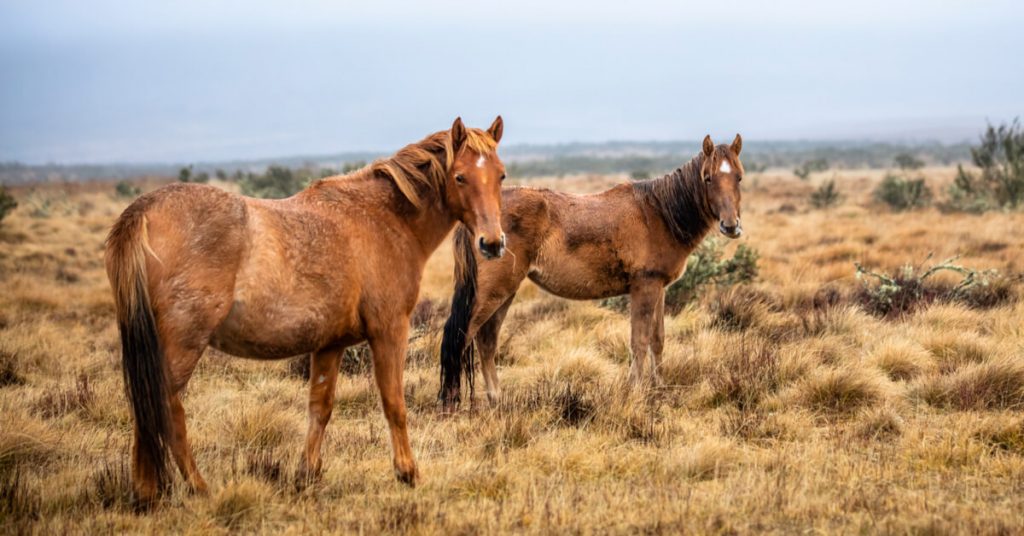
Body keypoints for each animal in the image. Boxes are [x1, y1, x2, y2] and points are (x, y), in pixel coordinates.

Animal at [107, 116, 507, 504]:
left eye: (501, 175)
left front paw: (307, 475)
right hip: (183, 345)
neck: (385, 219)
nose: (492, 243)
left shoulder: (329, 345)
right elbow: (394, 403)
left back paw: (148, 493)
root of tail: (143, 212)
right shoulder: (389, 331)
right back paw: (190, 489)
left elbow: (320, 408)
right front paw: (408, 473)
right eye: (460, 176)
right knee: (165, 409)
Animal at [440, 133, 745, 407]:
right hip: (494, 292)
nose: (730, 225)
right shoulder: (644, 287)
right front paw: (635, 391)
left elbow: (657, 340)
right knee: (462, 339)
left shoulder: (658, 289)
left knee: (487, 340)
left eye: (739, 177)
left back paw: (496, 399)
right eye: (708, 178)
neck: (658, 213)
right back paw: (452, 403)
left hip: (505, 292)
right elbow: (639, 341)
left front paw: (660, 388)